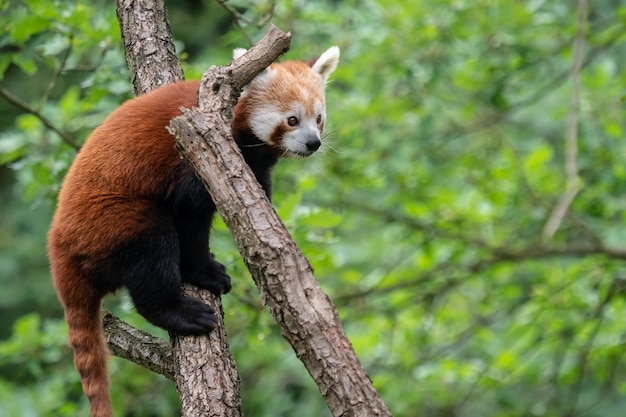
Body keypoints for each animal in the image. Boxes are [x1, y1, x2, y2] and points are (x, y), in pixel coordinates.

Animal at [47, 46, 342, 416]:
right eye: (292, 120)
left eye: (318, 118)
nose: (313, 143)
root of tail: (59, 249)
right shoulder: (190, 159)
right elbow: (189, 218)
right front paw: (204, 273)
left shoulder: (253, 162)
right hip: (111, 220)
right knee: (153, 242)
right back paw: (179, 311)